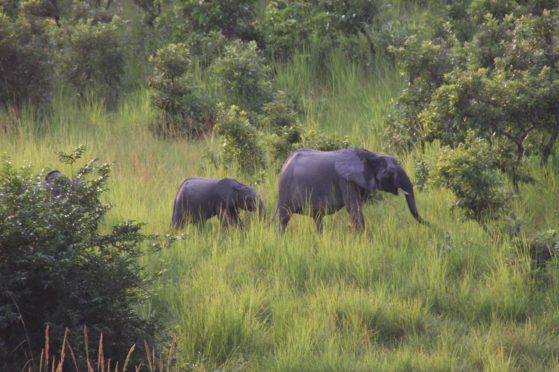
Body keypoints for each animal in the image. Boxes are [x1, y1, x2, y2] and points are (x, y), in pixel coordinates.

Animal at [278, 148, 426, 232]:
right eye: (390, 173)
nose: (429, 225)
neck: (370, 155)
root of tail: (285, 163)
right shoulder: (345, 180)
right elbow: (353, 208)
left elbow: (358, 208)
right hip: (286, 189)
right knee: (283, 219)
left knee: (317, 219)